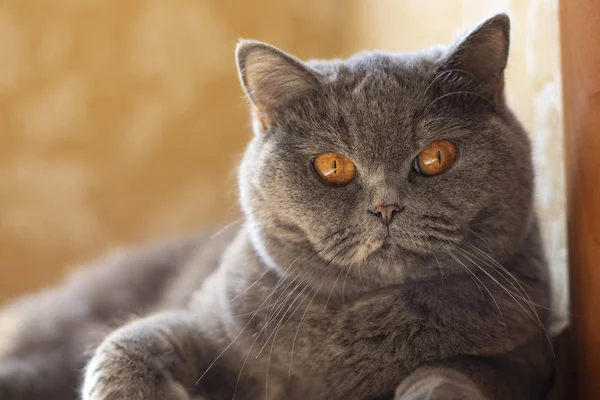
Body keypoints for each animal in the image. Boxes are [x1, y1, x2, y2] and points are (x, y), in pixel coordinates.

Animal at [0, 14, 552, 400]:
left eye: (436, 157)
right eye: (333, 166)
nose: (386, 207)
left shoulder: (523, 359)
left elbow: (450, 374)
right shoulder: (204, 325)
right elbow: (128, 343)